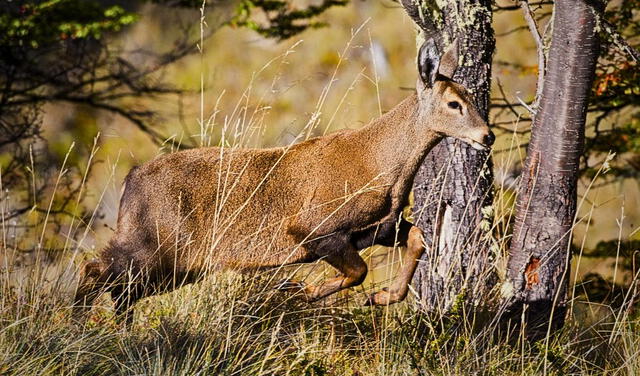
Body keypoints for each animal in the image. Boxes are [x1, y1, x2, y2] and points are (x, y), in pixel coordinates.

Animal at [74, 40, 496, 324]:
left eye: (473, 97)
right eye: (454, 104)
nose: (488, 135)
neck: (382, 167)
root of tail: (130, 182)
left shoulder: (377, 227)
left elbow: (418, 237)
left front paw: (382, 296)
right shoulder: (314, 225)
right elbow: (358, 271)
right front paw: (304, 291)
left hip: (175, 264)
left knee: (119, 287)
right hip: (154, 245)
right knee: (95, 270)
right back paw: (79, 326)